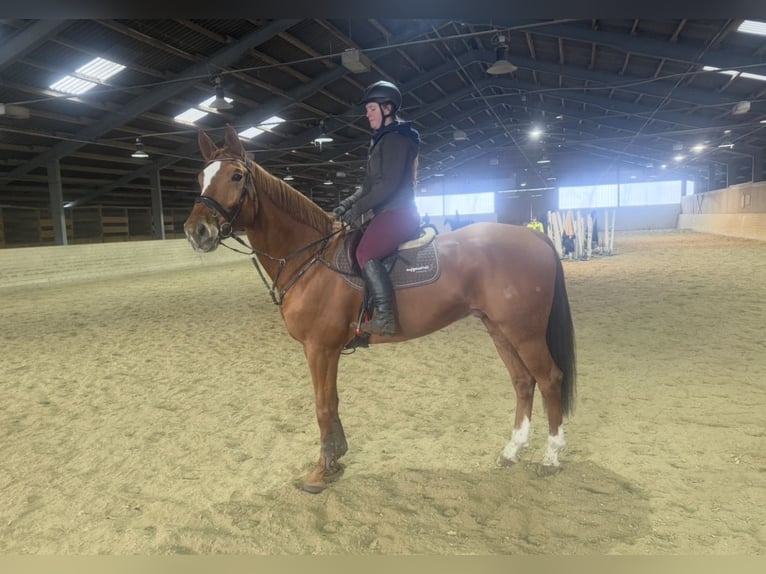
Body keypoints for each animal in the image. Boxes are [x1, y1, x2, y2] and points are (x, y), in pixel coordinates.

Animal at [183, 124, 577, 494]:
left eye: (236, 176)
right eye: (200, 177)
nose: (196, 231)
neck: (311, 258)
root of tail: (534, 235)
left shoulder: (320, 349)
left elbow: (323, 406)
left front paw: (321, 472)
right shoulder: (326, 351)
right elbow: (333, 403)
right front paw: (336, 460)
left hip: (525, 332)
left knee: (549, 379)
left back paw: (551, 457)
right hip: (498, 328)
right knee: (523, 381)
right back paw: (512, 451)